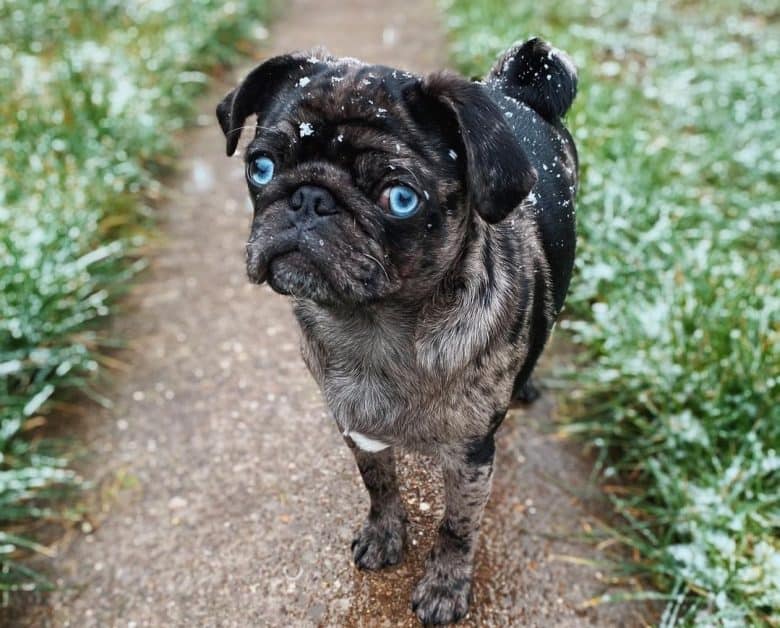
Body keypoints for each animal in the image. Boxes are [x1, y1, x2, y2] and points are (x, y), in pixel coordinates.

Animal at [216, 38, 576, 624]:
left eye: (401, 199)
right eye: (261, 168)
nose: (310, 198)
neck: (375, 328)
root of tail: (519, 88)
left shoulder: (471, 459)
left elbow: (457, 527)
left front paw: (445, 585)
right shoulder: (356, 429)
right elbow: (379, 485)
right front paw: (385, 533)